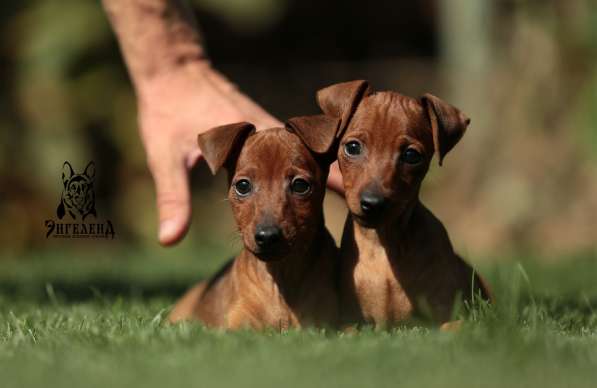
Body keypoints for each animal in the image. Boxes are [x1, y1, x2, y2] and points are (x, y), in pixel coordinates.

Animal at [288, 81, 488, 328]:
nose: (372, 203)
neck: (382, 246)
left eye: (411, 155)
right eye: (352, 147)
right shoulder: (351, 323)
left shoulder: (450, 317)